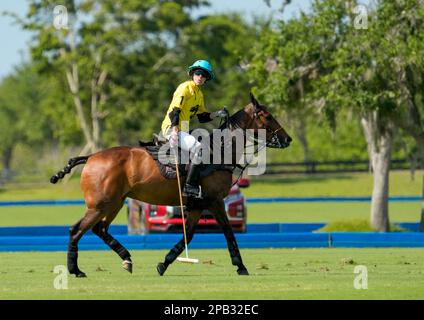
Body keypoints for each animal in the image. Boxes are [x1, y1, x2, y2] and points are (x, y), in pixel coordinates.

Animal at [50, 93, 292, 278]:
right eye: (267, 116)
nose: (287, 139)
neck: (220, 151)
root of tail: (90, 157)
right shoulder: (214, 201)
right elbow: (228, 232)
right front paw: (241, 266)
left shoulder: (198, 205)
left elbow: (189, 235)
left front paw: (163, 264)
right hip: (100, 204)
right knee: (77, 229)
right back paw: (75, 269)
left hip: (114, 203)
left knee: (99, 229)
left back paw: (126, 259)